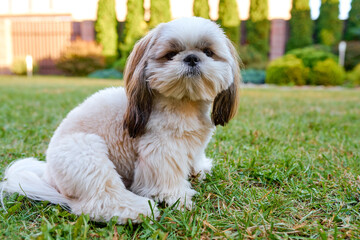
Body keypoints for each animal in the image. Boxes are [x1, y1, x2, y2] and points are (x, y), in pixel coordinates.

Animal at [2, 16, 242, 223]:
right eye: (171, 53)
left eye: (208, 52)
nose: (192, 57)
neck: (184, 104)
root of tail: (48, 175)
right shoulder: (160, 149)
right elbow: (166, 178)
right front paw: (177, 197)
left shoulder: (193, 144)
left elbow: (194, 158)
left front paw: (198, 170)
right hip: (86, 152)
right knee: (99, 200)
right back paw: (137, 210)